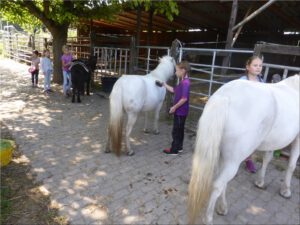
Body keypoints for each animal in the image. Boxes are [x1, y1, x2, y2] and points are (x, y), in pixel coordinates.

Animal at [189, 74, 298, 224]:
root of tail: (225, 96)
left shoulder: (273, 143)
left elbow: (267, 159)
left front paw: (260, 182)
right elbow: (292, 165)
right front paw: (286, 191)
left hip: (223, 157)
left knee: (222, 182)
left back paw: (222, 208)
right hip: (233, 161)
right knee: (218, 185)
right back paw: (209, 218)